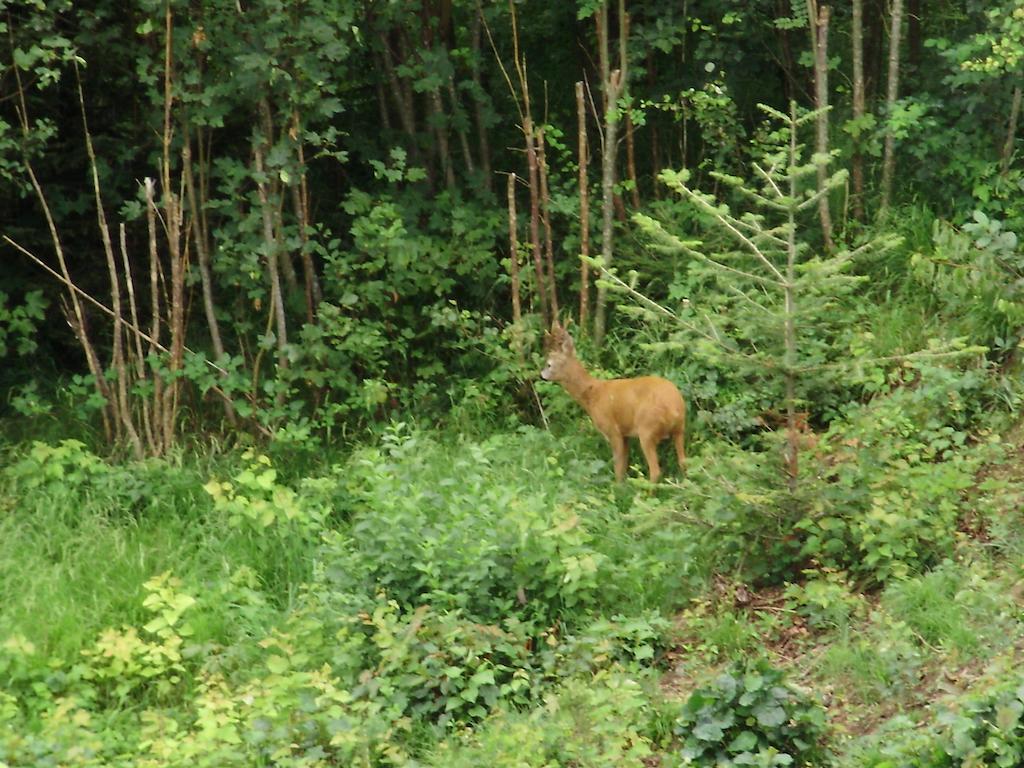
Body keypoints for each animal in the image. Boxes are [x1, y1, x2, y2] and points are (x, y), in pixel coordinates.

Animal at [540, 323, 684, 481]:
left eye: (548, 364)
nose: (541, 375)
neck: (593, 394)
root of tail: (674, 408)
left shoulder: (612, 429)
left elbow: (618, 468)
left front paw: (618, 485)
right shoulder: (625, 434)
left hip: (647, 427)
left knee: (656, 470)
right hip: (679, 429)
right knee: (684, 462)